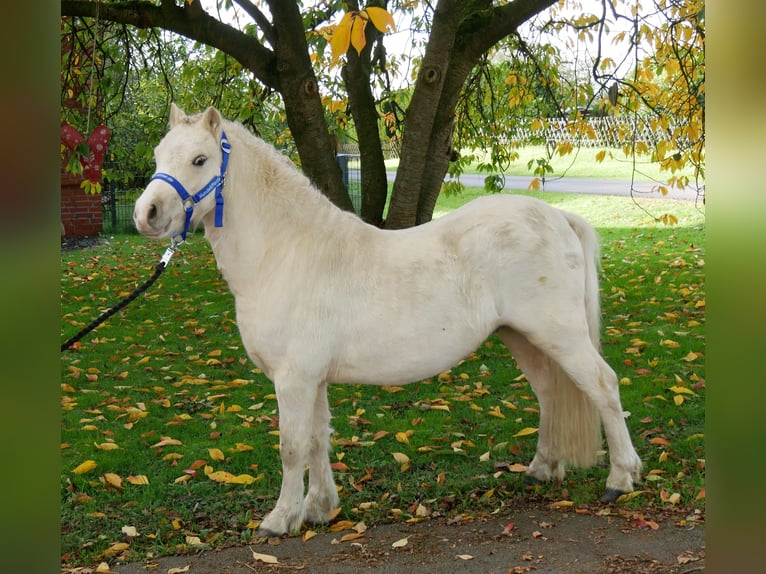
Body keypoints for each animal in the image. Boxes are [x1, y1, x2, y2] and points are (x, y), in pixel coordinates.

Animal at [135, 104, 644, 540]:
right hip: (524, 338)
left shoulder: (294, 379)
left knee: (603, 386)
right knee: (551, 393)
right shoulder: (313, 379)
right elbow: (318, 440)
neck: (287, 252)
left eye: (200, 159)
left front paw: (280, 520)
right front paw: (319, 510)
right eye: (159, 155)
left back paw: (621, 478)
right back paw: (542, 470)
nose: (146, 214)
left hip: (560, 335)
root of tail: (558, 216)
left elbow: (292, 447)